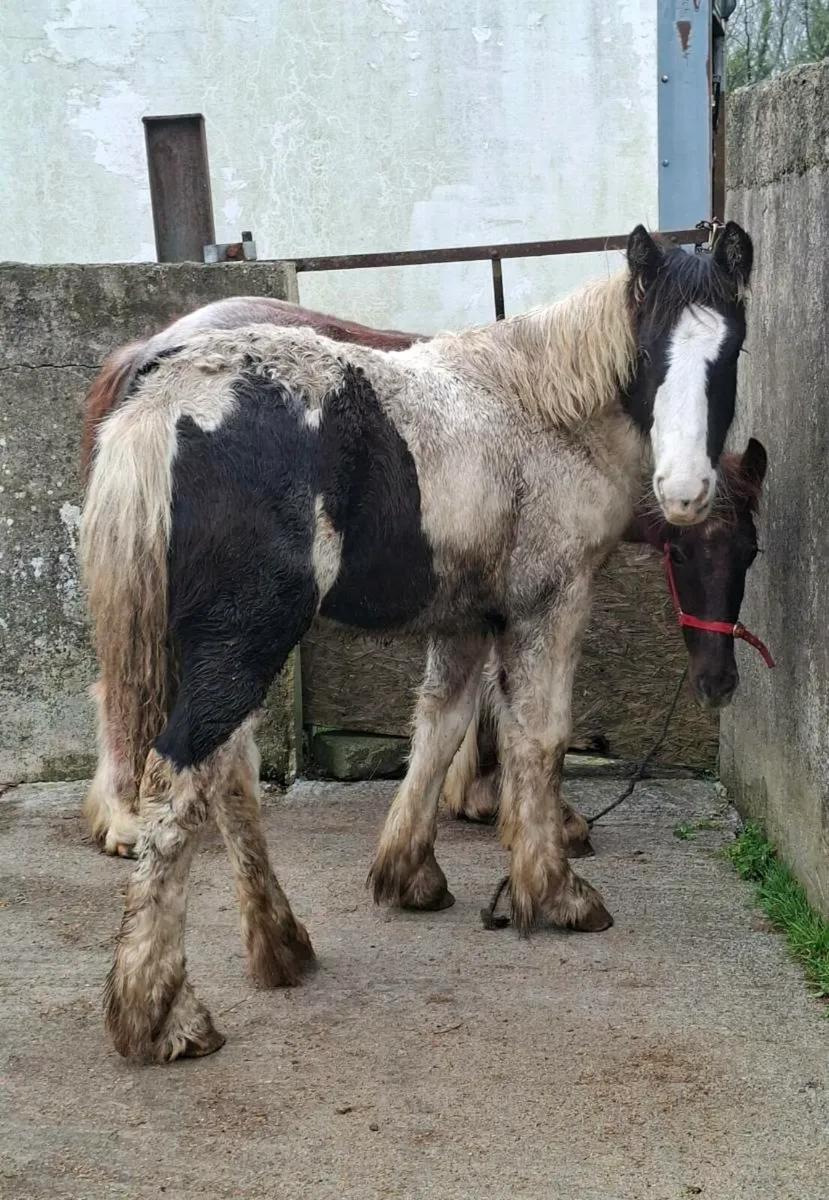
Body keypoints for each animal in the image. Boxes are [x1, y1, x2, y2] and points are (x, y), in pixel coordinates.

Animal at [80, 221, 753, 1061]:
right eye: (651, 350)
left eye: (727, 349)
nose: (684, 493)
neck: (543, 413)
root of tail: (163, 399)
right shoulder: (550, 603)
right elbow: (539, 738)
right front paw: (553, 890)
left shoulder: (463, 620)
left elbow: (441, 726)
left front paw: (411, 874)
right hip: (244, 638)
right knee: (180, 775)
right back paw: (160, 1016)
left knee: (227, 774)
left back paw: (279, 945)